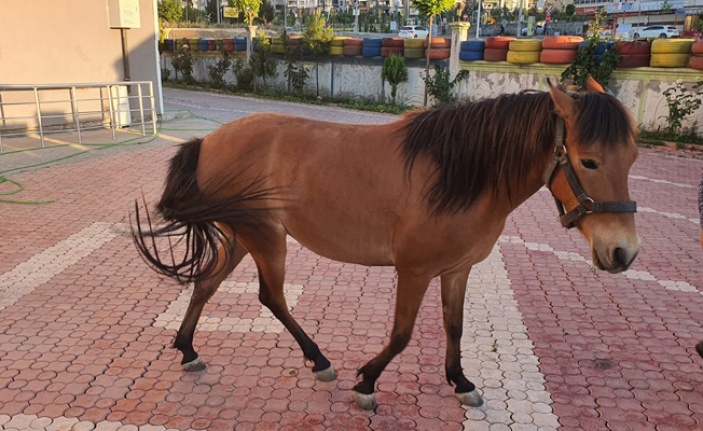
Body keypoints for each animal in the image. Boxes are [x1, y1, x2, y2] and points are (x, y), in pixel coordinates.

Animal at [135, 77, 640, 412]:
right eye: (589, 161)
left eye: (633, 157)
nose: (623, 253)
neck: (461, 174)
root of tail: (207, 143)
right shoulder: (413, 270)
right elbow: (401, 334)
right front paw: (367, 382)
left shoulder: (458, 269)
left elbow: (454, 327)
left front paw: (460, 381)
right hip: (265, 237)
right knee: (271, 296)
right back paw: (319, 359)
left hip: (241, 237)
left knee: (206, 285)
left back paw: (188, 349)